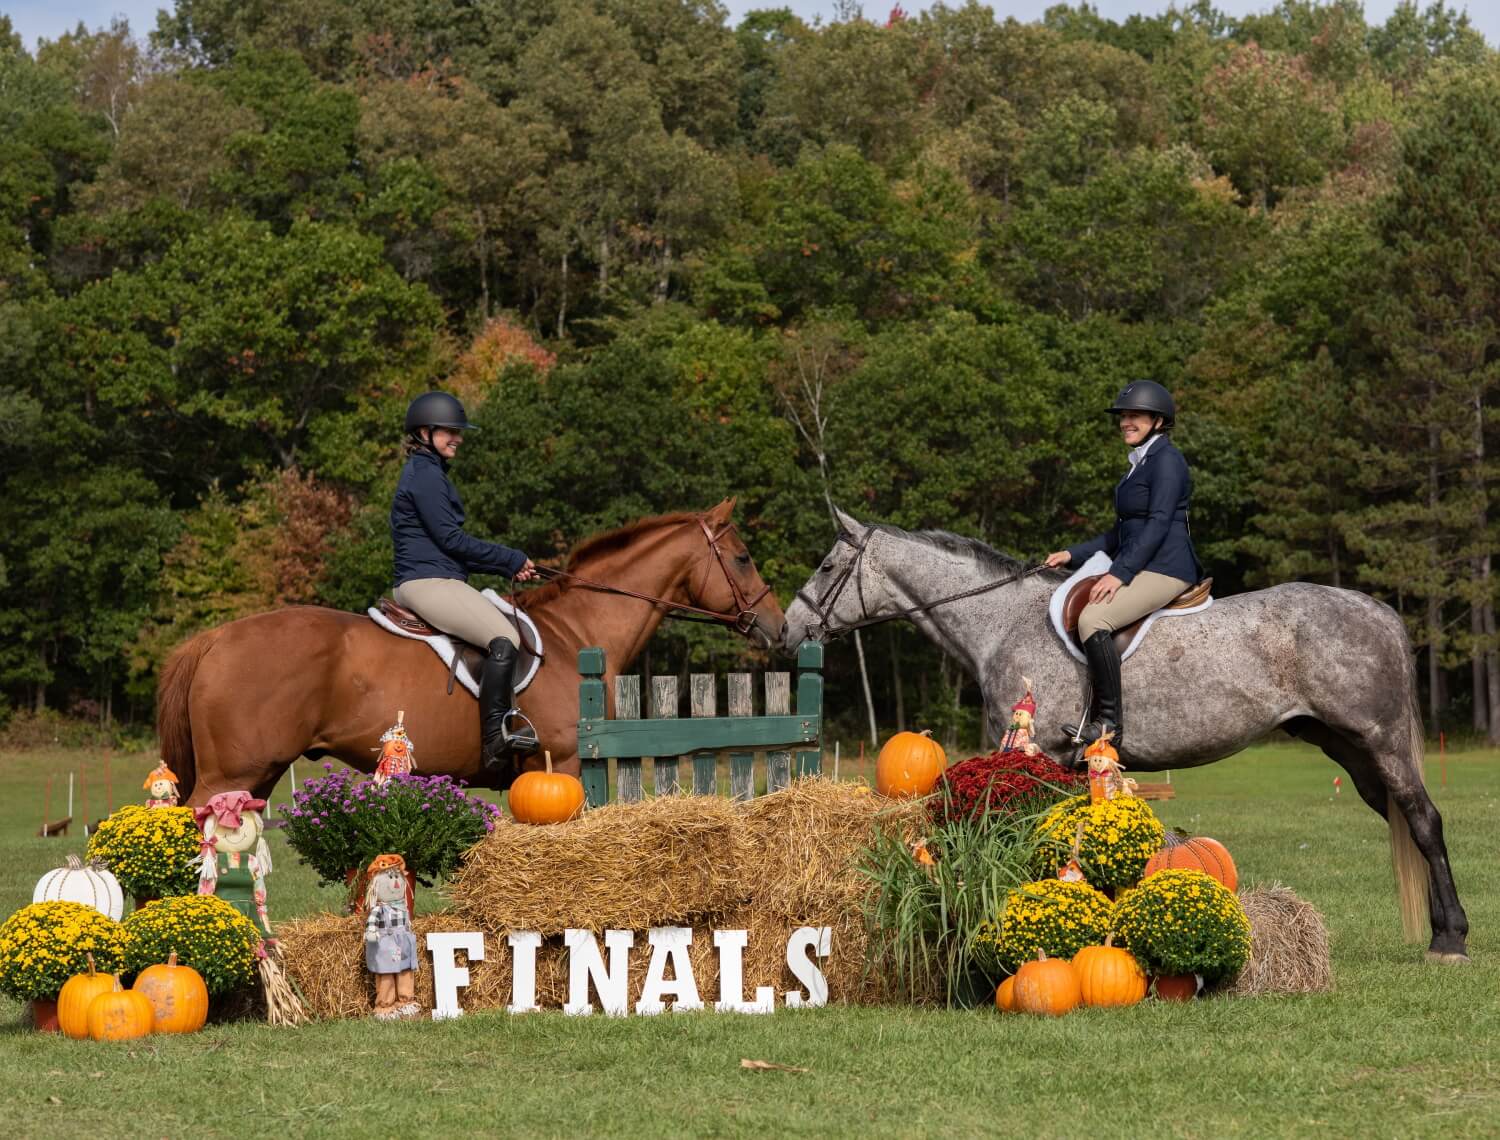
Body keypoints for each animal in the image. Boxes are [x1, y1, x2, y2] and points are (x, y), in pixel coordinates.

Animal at [155, 501, 786, 810]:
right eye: (744, 557)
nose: (779, 627)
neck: (575, 632)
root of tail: (214, 638)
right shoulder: (559, 762)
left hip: (256, 775)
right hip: (231, 772)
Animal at [792, 510, 1470, 960]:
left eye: (827, 566)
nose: (785, 627)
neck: (999, 622)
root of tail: (1378, 610)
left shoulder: (1037, 753)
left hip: (1380, 741)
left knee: (1424, 820)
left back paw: (1452, 939)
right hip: (1348, 748)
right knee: (1403, 818)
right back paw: (1441, 929)